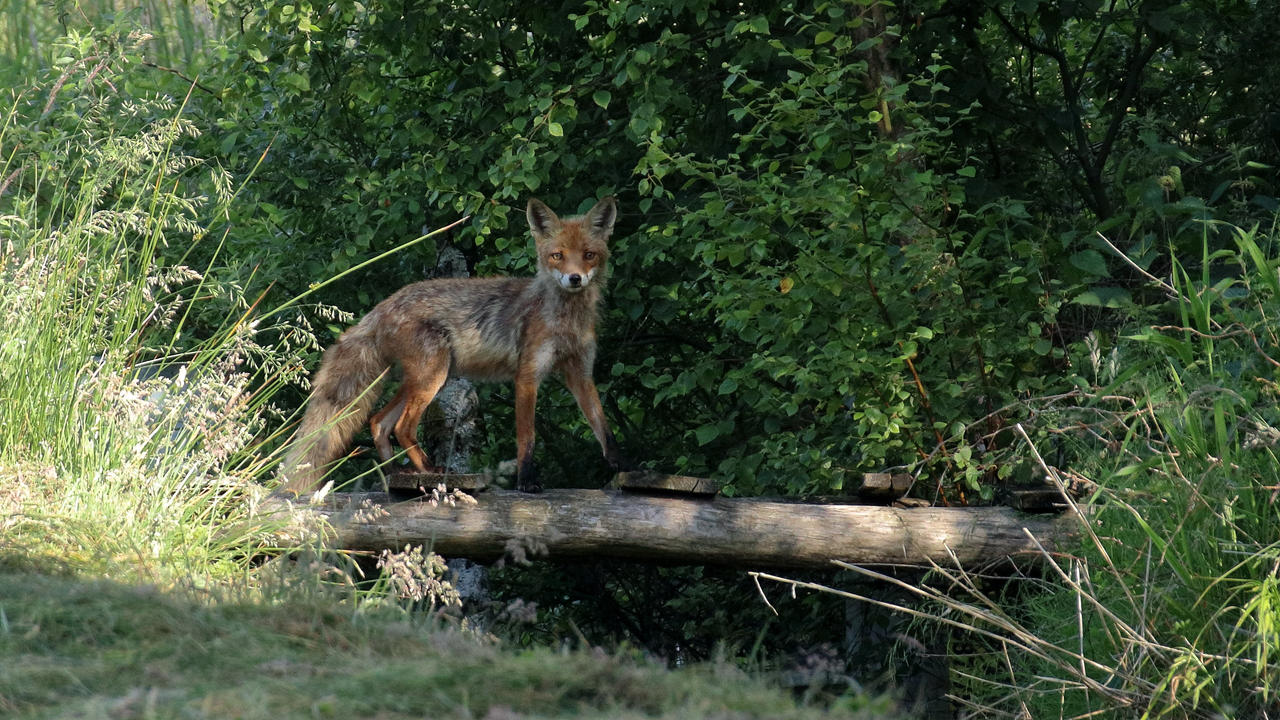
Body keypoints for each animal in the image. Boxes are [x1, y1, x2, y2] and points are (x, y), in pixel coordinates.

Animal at [277, 196, 627, 491]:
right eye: (557, 256)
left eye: (589, 255)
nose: (575, 279)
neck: (566, 320)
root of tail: (381, 308)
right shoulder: (528, 375)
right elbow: (527, 437)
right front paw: (527, 481)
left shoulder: (580, 373)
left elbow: (604, 428)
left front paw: (622, 466)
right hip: (432, 377)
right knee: (402, 428)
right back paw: (428, 470)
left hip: (424, 379)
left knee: (378, 422)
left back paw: (397, 473)